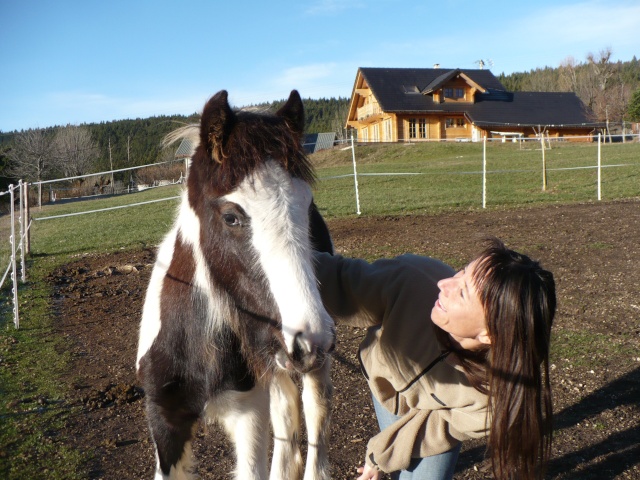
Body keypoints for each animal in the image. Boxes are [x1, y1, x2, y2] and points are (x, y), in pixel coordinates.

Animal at [135, 91, 336, 480]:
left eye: (307, 206)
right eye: (231, 217)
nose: (308, 340)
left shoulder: (248, 412)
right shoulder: (164, 421)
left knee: (313, 414)